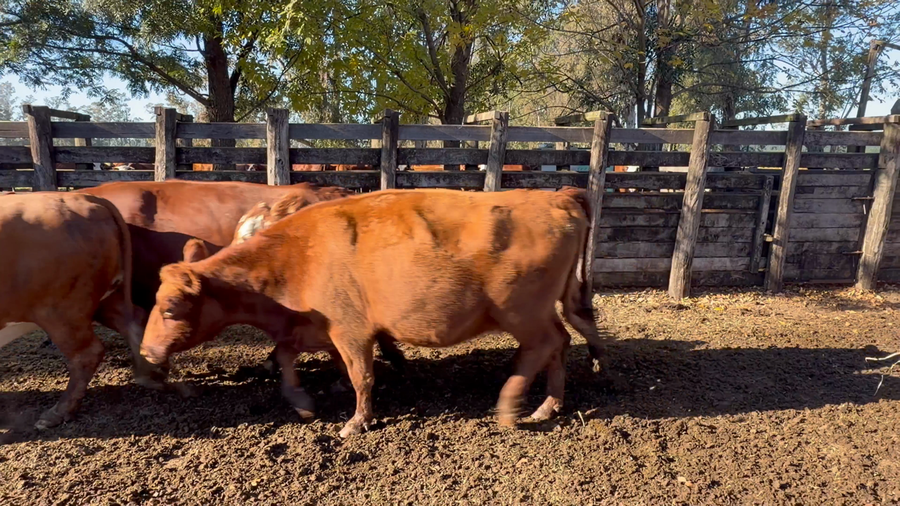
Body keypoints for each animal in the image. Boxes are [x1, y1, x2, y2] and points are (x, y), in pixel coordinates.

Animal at [0, 192, 165, 429]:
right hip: (108, 298)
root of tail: (83, 196)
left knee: (87, 354)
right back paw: (149, 374)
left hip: (60, 312)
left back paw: (58, 412)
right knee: (134, 321)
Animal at [139, 188, 608, 437]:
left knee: (544, 345)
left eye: (171, 307)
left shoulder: (350, 331)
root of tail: (557, 196)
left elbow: (361, 375)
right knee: (561, 342)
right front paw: (303, 401)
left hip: (520, 312)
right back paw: (550, 404)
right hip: (541, 310)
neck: (297, 255)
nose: (145, 352)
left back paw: (512, 405)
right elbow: (288, 359)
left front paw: (356, 421)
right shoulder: (307, 328)